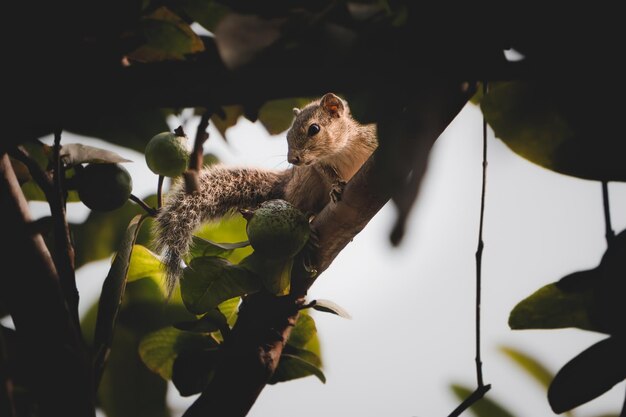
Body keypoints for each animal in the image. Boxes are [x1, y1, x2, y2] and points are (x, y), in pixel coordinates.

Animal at [154, 92, 378, 292]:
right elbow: (327, 173)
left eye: (314, 129)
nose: (292, 159)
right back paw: (308, 230)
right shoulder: (319, 165)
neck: (342, 149)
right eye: (287, 134)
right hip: (304, 181)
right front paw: (336, 186)